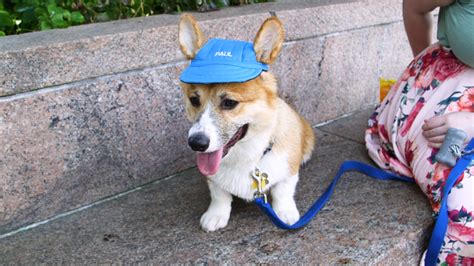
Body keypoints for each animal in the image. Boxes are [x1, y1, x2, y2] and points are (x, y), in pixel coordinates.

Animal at [178, 14, 314, 231]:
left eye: (229, 103)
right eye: (194, 100)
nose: (196, 143)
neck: (246, 156)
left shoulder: (288, 172)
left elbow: (283, 191)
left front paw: (285, 213)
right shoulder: (213, 180)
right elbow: (219, 195)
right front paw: (215, 215)